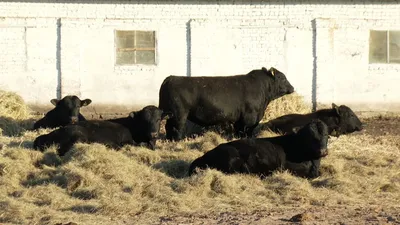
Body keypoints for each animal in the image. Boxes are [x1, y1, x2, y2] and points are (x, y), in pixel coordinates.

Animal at [159, 67, 294, 141]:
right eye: (282, 78)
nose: (292, 88)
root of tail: (171, 78)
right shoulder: (249, 117)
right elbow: (245, 131)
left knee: (168, 126)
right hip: (179, 114)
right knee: (177, 127)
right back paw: (178, 141)